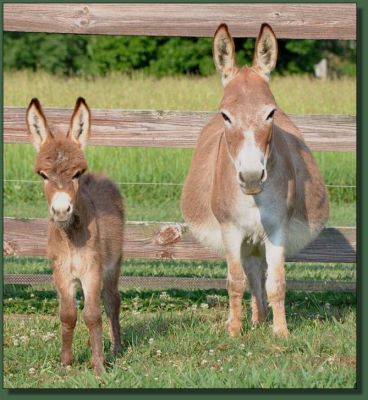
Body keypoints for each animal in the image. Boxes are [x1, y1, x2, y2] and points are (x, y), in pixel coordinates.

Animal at [25, 98, 124, 374]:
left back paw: (116, 348)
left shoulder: (92, 271)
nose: (61, 210)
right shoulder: (61, 273)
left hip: (113, 265)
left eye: (77, 173)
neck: (71, 238)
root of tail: (100, 176)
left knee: (112, 301)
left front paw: (99, 366)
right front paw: (65, 364)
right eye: (43, 175)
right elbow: (67, 314)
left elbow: (92, 315)